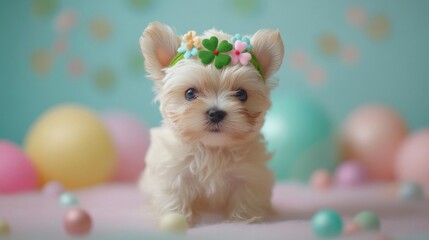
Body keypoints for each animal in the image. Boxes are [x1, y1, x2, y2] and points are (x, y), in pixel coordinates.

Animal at [139, 21, 282, 224]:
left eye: (241, 94)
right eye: (190, 93)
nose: (216, 113)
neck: (212, 149)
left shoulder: (249, 174)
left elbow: (246, 195)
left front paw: (245, 219)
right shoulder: (173, 172)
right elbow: (174, 194)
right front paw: (177, 217)